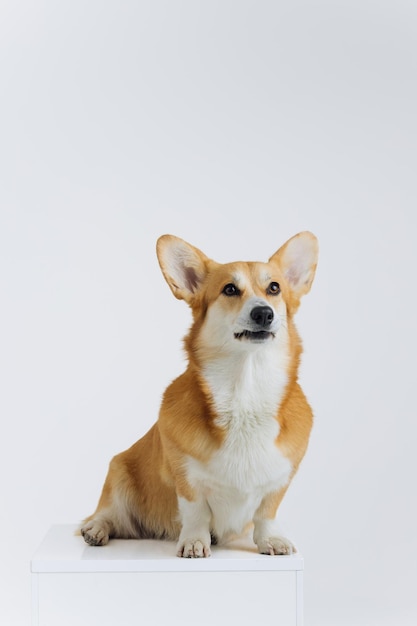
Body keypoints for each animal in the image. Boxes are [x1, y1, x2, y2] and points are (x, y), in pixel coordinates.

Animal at [79, 232, 316, 552]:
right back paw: (96, 529)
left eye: (274, 288)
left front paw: (271, 540)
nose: (263, 313)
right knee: (108, 516)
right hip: (119, 472)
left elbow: (267, 512)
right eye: (230, 289)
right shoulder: (185, 476)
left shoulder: (280, 481)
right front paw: (194, 542)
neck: (245, 391)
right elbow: (196, 512)